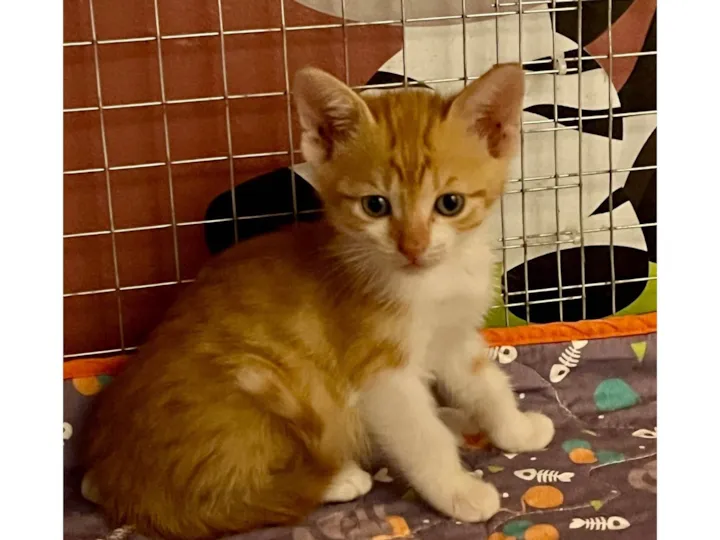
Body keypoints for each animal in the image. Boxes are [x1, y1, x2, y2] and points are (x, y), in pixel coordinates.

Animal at [80, 63, 554, 540]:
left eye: (450, 203)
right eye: (375, 205)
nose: (413, 247)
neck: (430, 281)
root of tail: (127, 488)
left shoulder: (453, 335)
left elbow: (486, 384)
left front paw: (516, 429)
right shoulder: (380, 373)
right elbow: (421, 435)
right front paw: (459, 492)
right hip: (258, 391)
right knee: (232, 495)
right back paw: (343, 476)